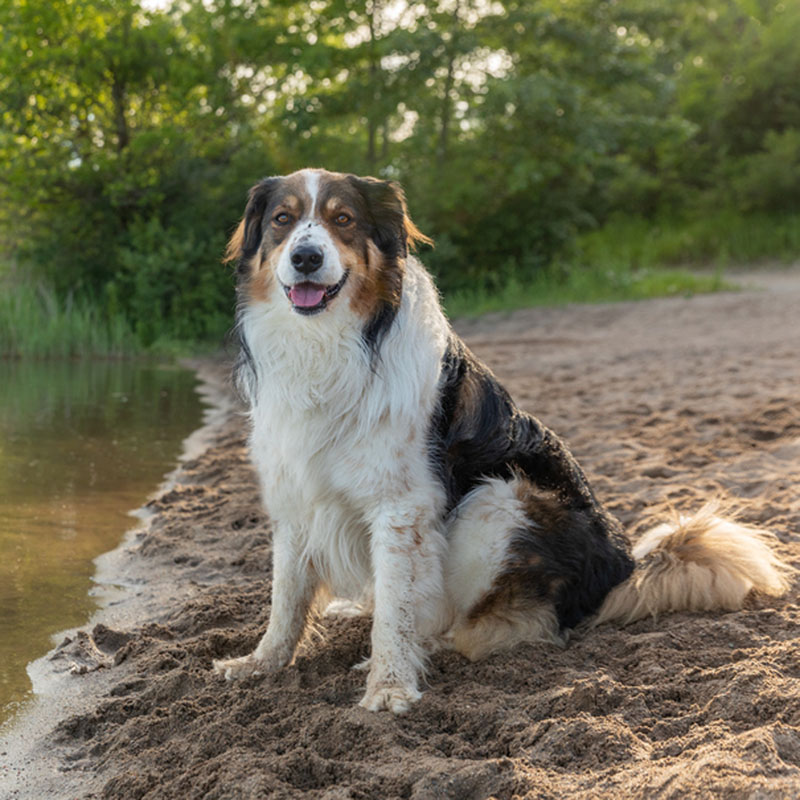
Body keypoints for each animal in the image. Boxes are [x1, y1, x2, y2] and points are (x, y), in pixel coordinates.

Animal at [214, 167, 792, 712]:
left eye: (343, 220)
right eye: (282, 220)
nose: (307, 257)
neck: (328, 344)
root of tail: (623, 568)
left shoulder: (404, 506)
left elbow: (398, 610)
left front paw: (389, 684)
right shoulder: (295, 493)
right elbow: (286, 597)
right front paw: (261, 664)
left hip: (500, 498)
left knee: (503, 626)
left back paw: (432, 644)